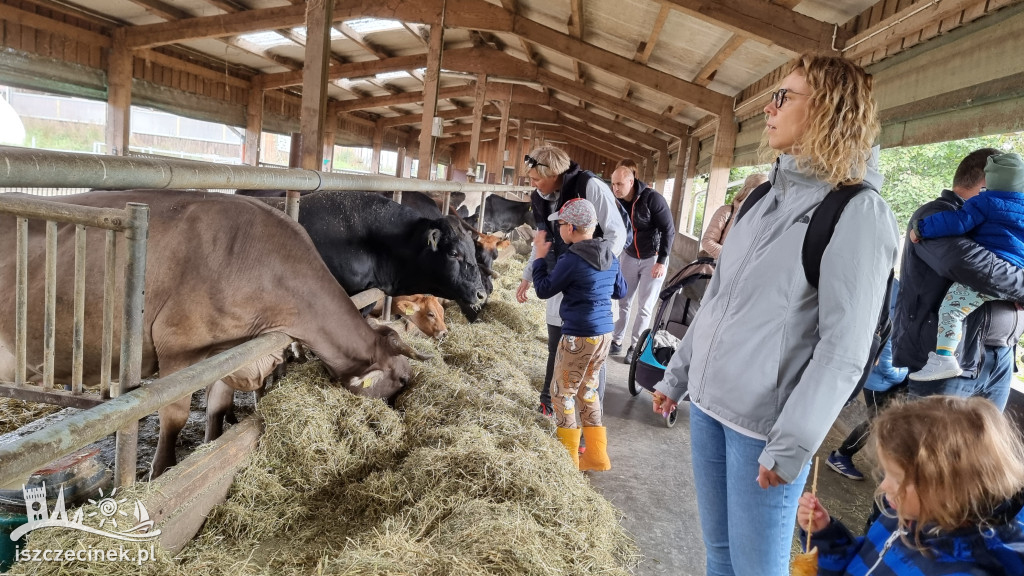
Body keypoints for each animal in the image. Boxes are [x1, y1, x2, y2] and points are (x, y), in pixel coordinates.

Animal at [0, 189, 428, 475]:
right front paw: (162, 470)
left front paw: (210, 445)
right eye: (402, 378)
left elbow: (219, 404)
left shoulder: (227, 350)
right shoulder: (179, 347)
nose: (400, 421)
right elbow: (174, 415)